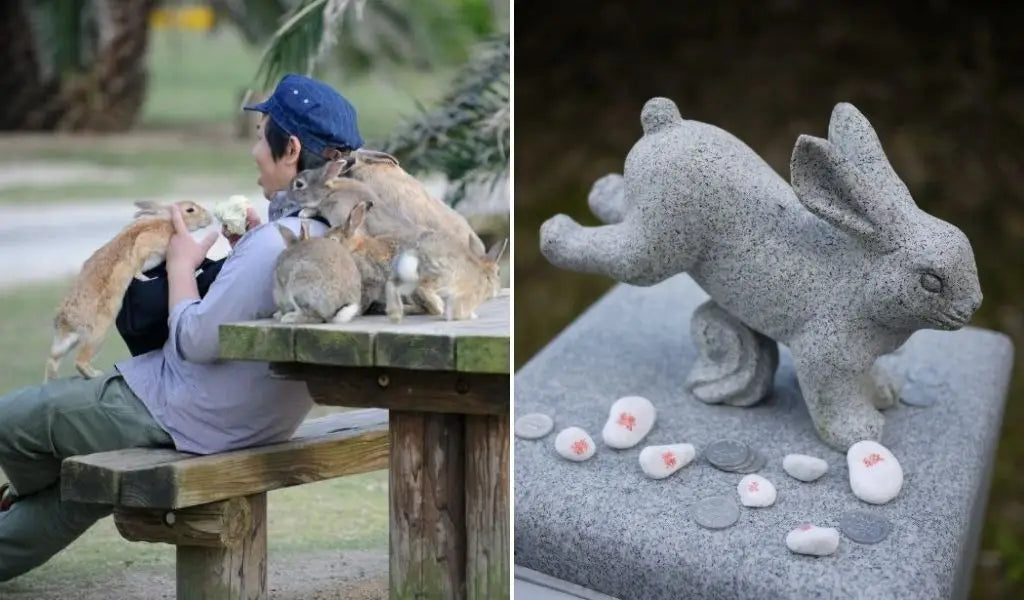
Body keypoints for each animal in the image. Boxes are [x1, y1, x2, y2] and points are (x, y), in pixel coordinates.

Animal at [46, 198, 214, 380]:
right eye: (190, 210)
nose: (210, 218)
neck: (168, 222)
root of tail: (65, 319)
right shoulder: (145, 244)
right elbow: (137, 266)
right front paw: (147, 279)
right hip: (98, 333)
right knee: (80, 361)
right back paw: (95, 374)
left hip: (69, 340)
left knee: (52, 359)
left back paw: (51, 380)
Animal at [544, 96, 983, 448]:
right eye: (931, 281)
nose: (973, 306)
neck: (861, 282)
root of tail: (664, 123)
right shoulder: (823, 354)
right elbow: (832, 399)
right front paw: (858, 432)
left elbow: (866, 378)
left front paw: (885, 393)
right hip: (657, 242)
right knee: (616, 255)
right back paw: (555, 233)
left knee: (620, 212)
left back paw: (601, 189)